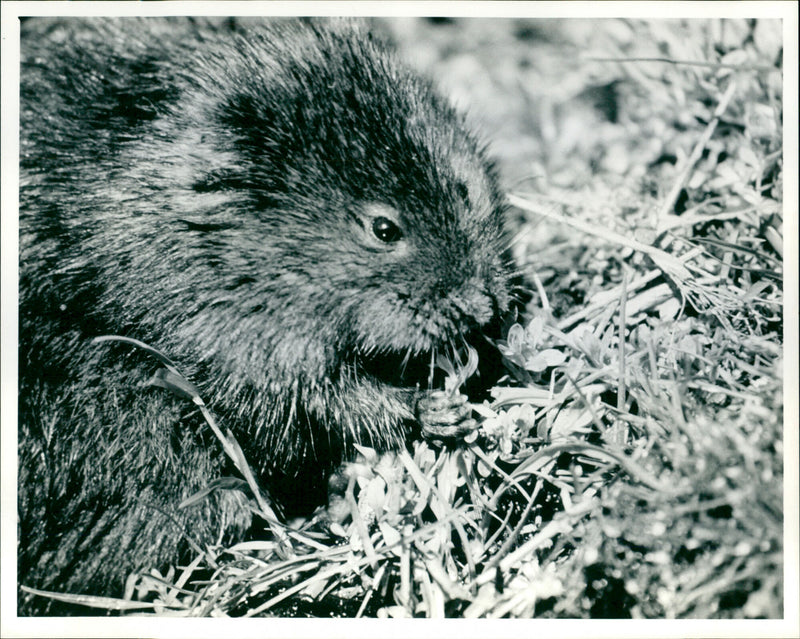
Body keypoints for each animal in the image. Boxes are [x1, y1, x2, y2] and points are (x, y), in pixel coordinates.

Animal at [18, 17, 513, 614]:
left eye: (462, 189)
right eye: (383, 228)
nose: (482, 305)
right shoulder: (217, 332)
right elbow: (312, 404)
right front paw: (436, 410)